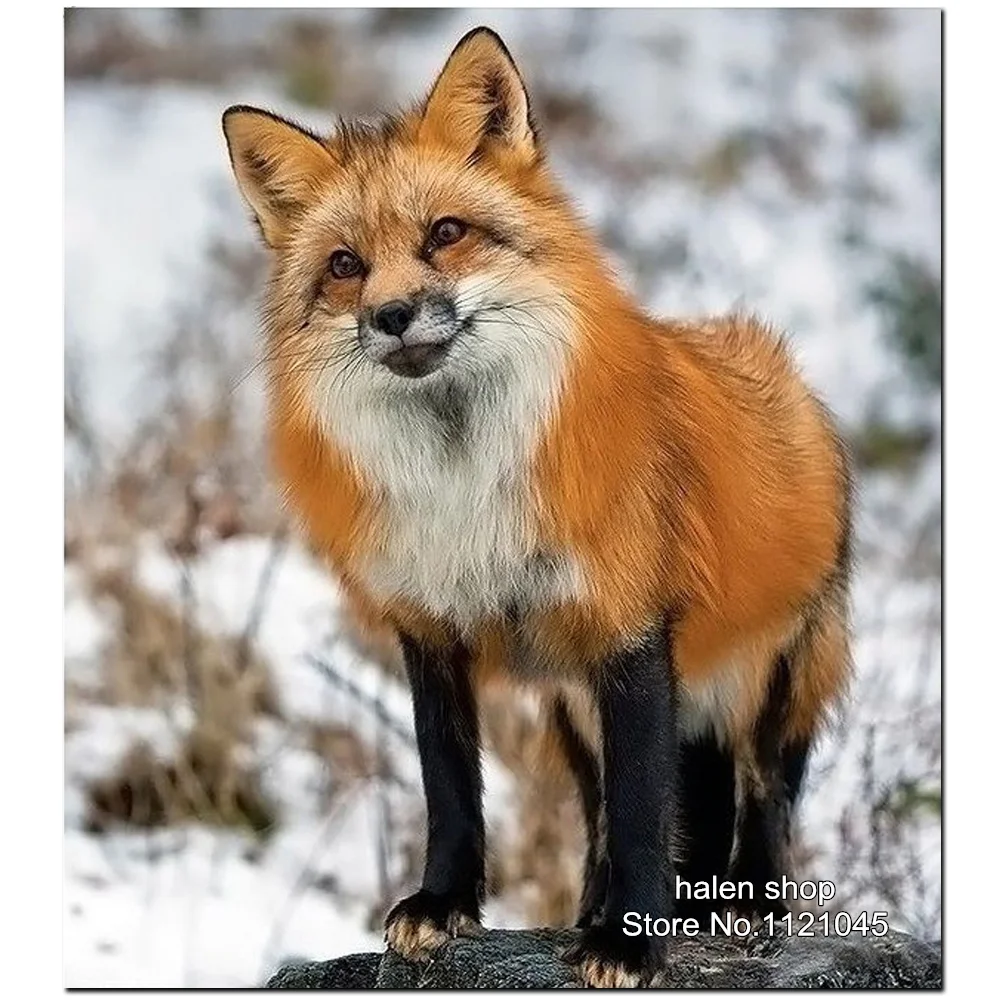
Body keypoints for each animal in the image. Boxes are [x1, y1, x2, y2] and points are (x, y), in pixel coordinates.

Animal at [222, 27, 852, 988]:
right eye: (345, 266)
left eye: (446, 233)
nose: (393, 314)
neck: (464, 484)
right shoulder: (430, 632)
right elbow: (451, 789)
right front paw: (443, 904)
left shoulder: (630, 633)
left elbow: (642, 810)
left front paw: (629, 942)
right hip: (575, 708)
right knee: (622, 813)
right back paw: (603, 910)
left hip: (772, 679)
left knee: (762, 794)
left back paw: (748, 908)